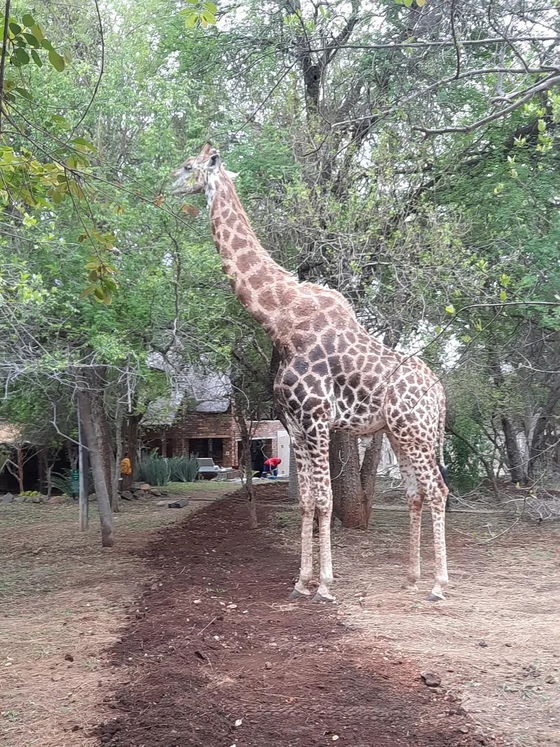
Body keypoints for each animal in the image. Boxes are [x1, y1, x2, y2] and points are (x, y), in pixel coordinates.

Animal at [171, 143, 450, 604]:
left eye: (189, 166)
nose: (169, 184)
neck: (279, 320)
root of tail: (441, 394)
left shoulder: (317, 419)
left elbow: (325, 500)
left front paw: (325, 585)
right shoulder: (296, 425)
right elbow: (306, 501)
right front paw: (302, 581)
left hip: (417, 432)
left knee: (437, 490)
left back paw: (439, 585)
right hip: (399, 434)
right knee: (415, 493)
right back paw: (411, 578)